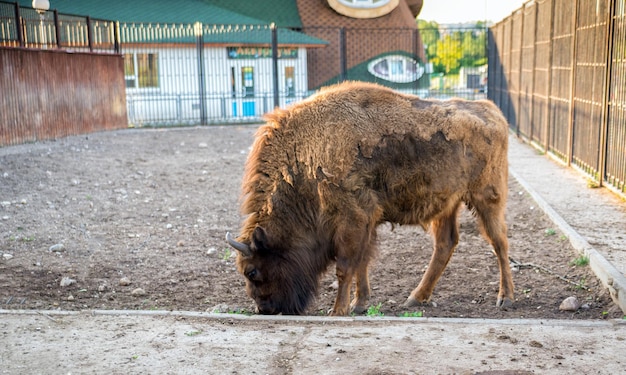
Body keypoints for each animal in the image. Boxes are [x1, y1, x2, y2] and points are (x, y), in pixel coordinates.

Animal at [224, 82, 512, 318]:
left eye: (252, 271)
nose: (265, 309)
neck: (305, 158)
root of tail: (492, 112)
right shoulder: (366, 221)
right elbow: (362, 262)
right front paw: (359, 304)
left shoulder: (352, 219)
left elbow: (345, 267)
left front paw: (338, 310)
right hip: (447, 205)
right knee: (445, 244)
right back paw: (416, 298)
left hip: (487, 198)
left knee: (499, 242)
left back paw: (505, 298)